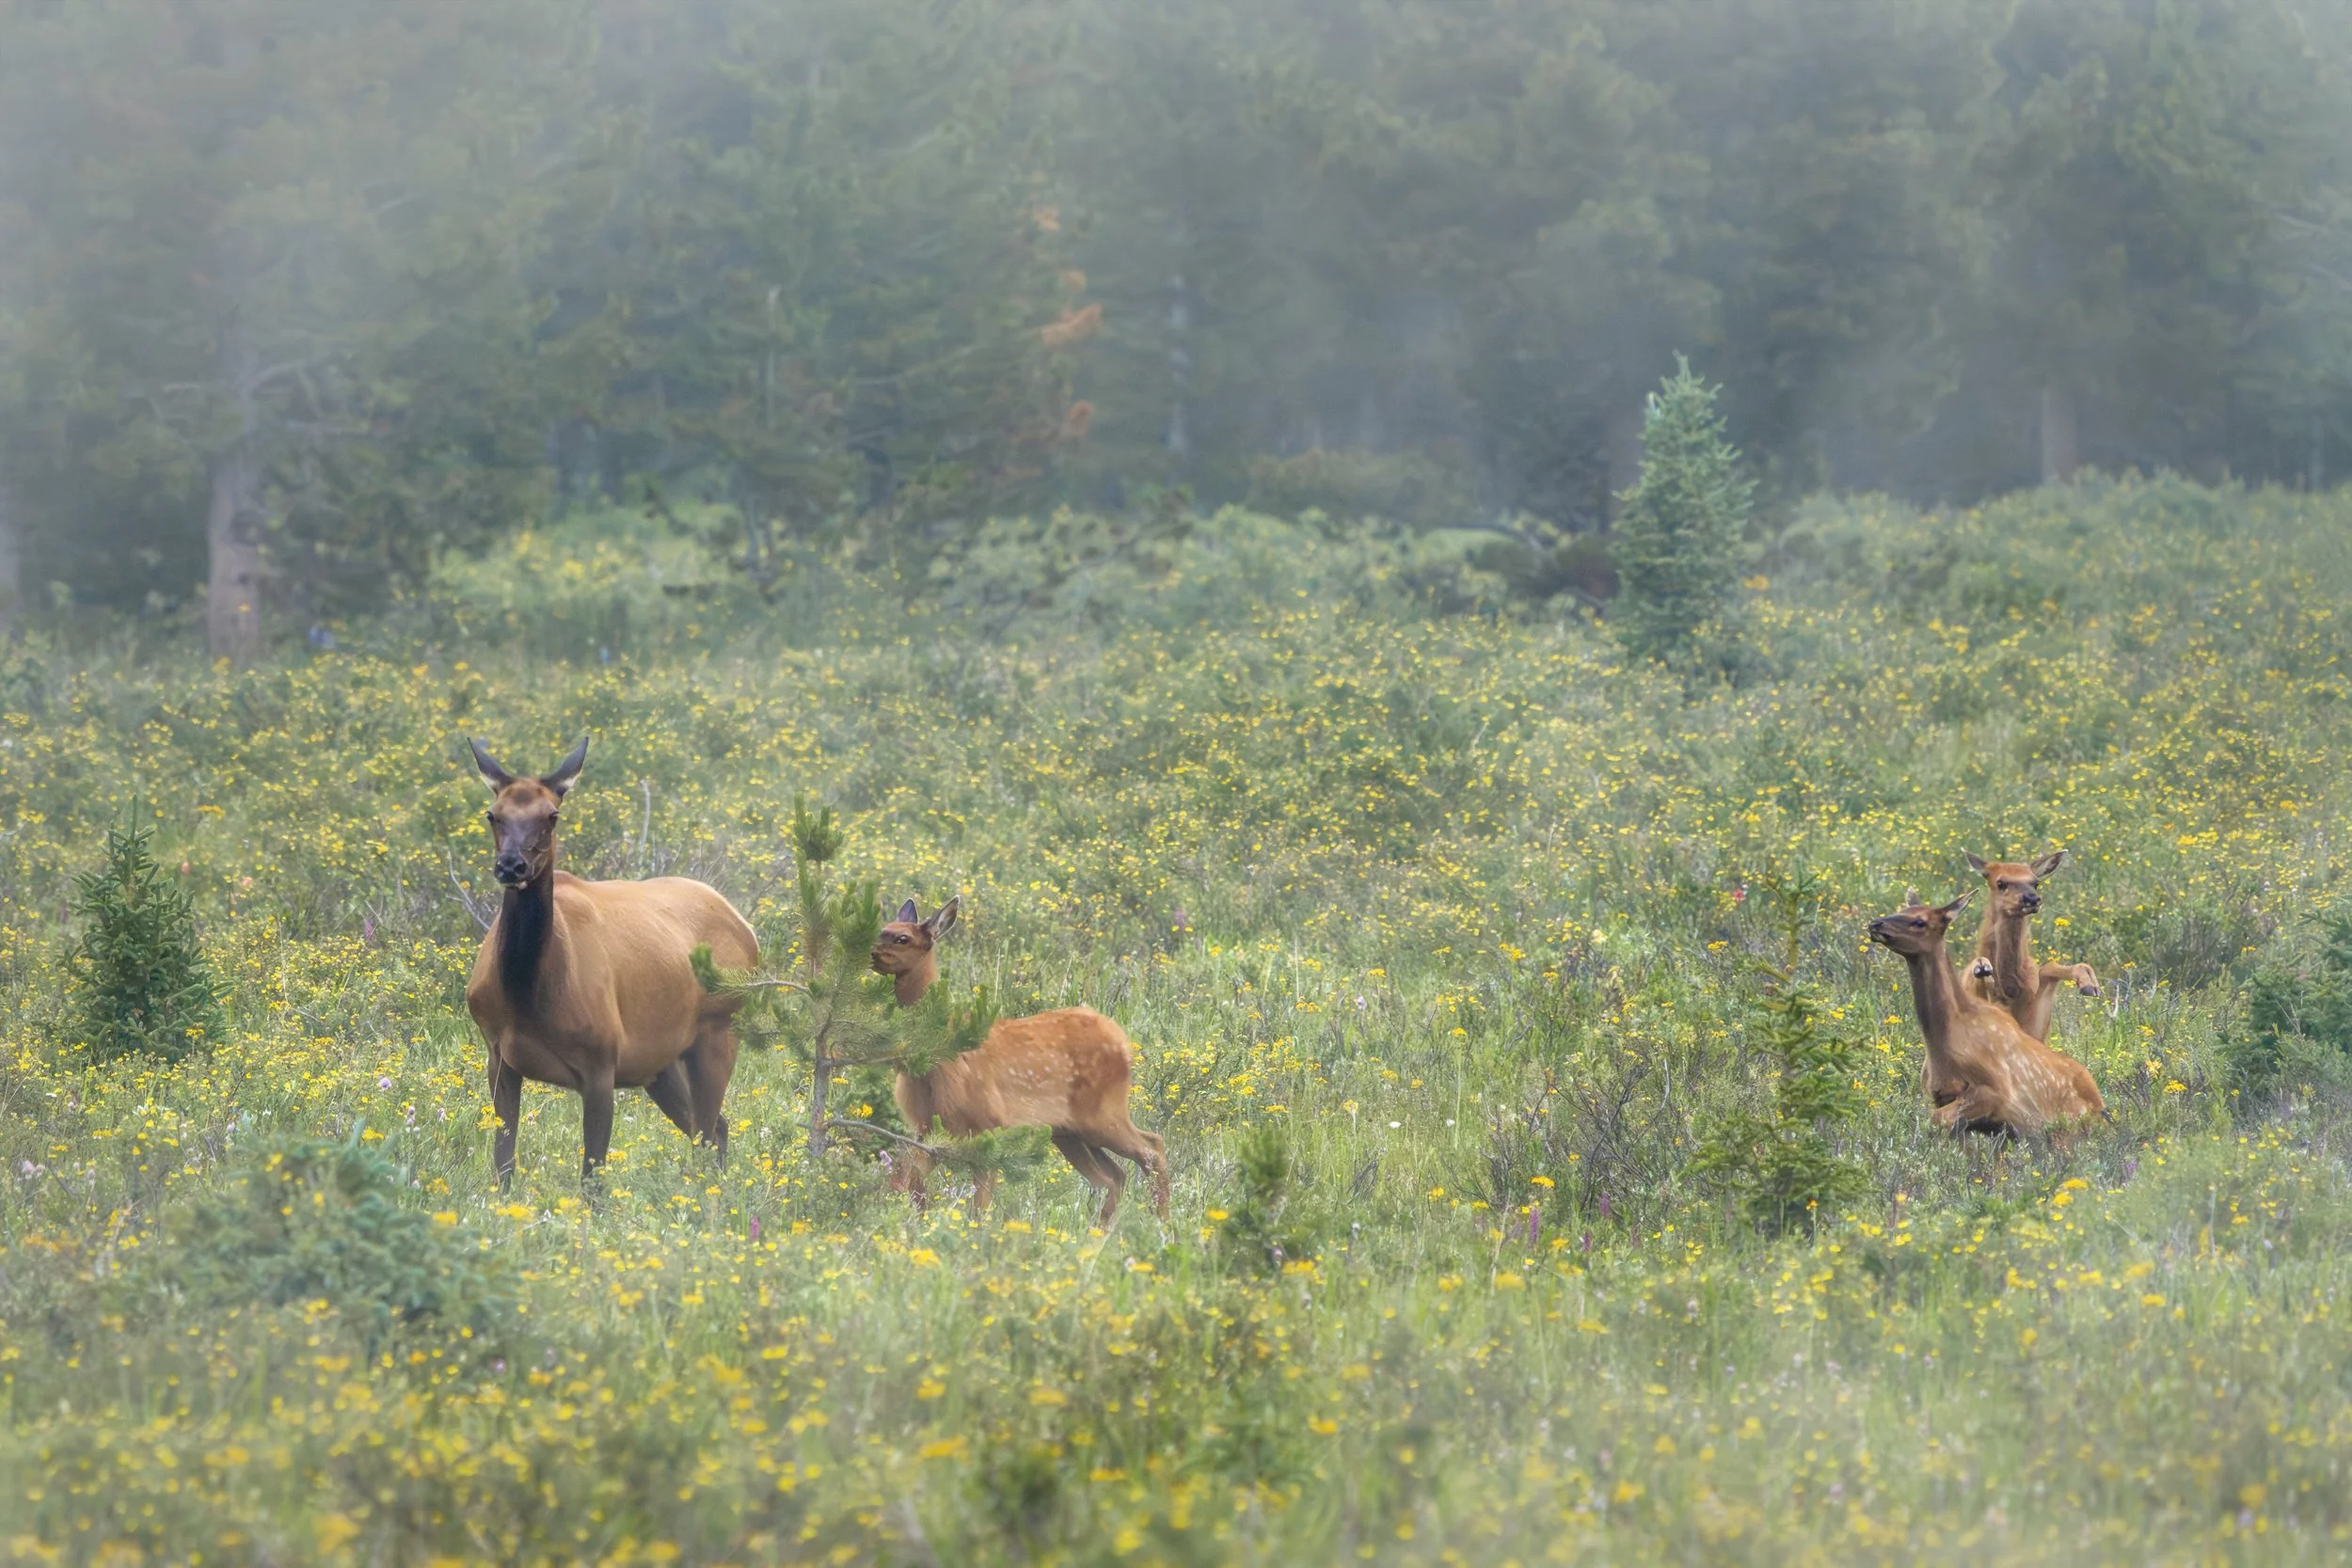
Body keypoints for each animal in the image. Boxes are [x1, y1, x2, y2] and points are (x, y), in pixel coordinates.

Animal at [464, 737, 759, 1184]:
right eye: (492, 814)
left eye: (553, 814)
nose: (511, 865)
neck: (526, 995)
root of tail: (746, 927)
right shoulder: (498, 1058)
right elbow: (503, 1169)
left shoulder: (601, 1064)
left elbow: (592, 1179)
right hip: (661, 1062)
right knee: (714, 1129)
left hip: (718, 1029)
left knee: (709, 1134)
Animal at [869, 897, 1169, 1226]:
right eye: (883, 927)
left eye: (902, 938)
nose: (869, 951)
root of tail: (1122, 1040)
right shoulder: (928, 1127)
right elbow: (907, 1182)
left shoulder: (986, 1123)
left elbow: (979, 1205)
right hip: (1069, 1133)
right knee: (1114, 1175)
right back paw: (1103, 1229)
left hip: (1102, 1114)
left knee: (1152, 1149)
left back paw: (1162, 1223)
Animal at [1869, 889, 2104, 1144]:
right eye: (1903, 909)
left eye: (1920, 921)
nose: (1875, 923)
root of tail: (2105, 1110)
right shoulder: (1940, 1096)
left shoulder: (1998, 1092)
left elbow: (1938, 1119)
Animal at [1963, 850, 2100, 1041]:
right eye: (2000, 883)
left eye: (2035, 883)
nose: (2032, 898)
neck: (2009, 990)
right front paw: (1982, 969)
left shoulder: (2034, 1030)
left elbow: (2049, 967)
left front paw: (2089, 985)